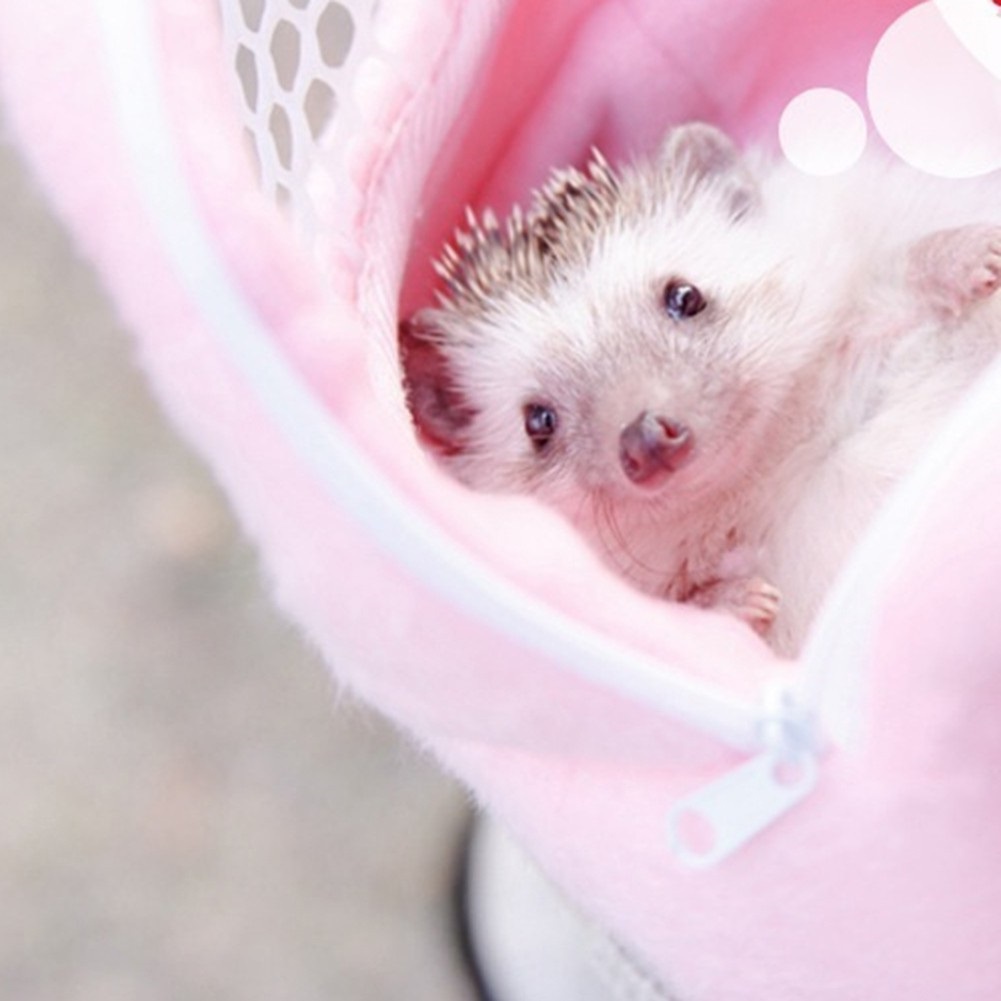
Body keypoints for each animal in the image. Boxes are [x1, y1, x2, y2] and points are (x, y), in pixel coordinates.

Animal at [400, 123, 1001, 654]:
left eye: (685, 296)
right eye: (538, 421)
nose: (647, 438)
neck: (757, 478)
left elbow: (890, 280)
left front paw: (971, 253)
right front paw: (739, 599)